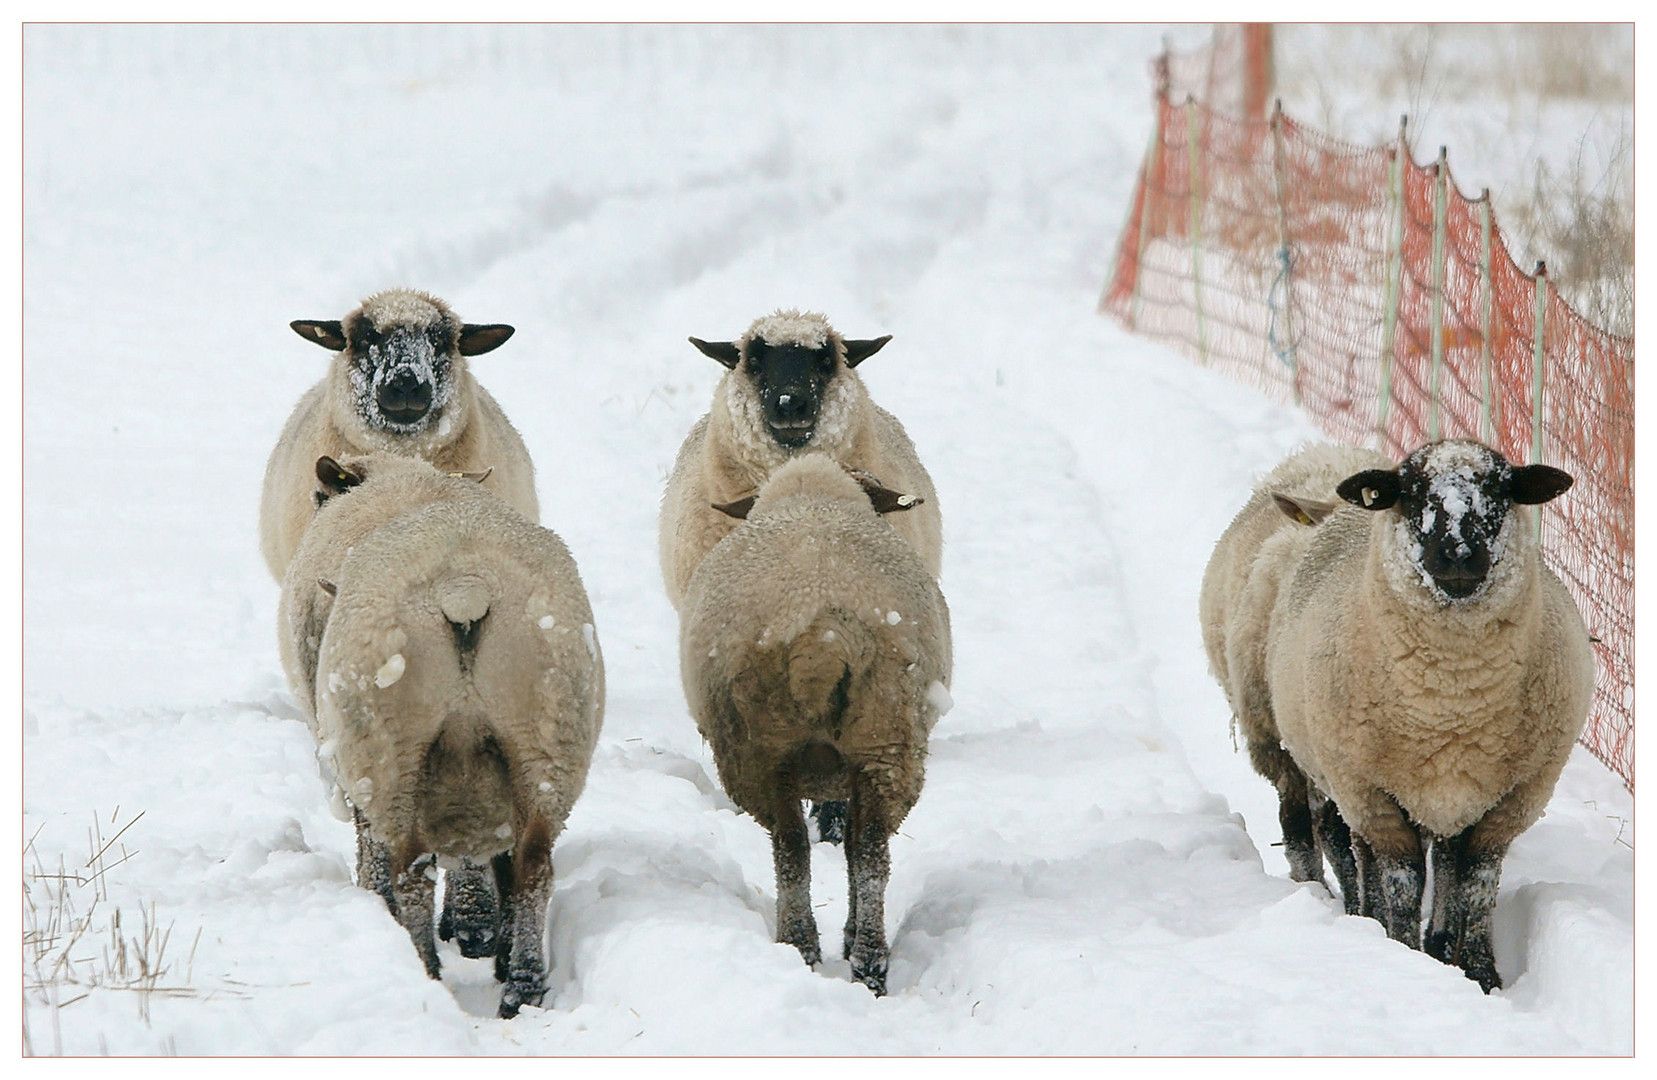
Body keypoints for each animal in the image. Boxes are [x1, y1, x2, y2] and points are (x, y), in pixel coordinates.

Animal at [281, 450, 606, 1020]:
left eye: (318, 497)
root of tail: (464, 587)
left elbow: (373, 849)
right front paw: (483, 935)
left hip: (388, 747)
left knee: (412, 869)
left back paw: (425, 967)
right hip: (548, 733)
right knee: (531, 866)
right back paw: (522, 984)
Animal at [676, 450, 961, 993]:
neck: (813, 493)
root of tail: (822, 629)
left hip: (776, 751)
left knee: (806, 849)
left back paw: (830, 953)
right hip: (880, 740)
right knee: (856, 852)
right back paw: (853, 957)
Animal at [1259, 437, 1597, 987]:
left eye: (1500, 489)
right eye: (1412, 492)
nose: (1458, 553)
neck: (1451, 701)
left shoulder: (1513, 797)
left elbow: (1477, 884)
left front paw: (1480, 972)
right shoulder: (1372, 795)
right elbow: (1402, 882)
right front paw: (1404, 952)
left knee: (1449, 860)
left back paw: (1441, 942)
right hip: (1342, 780)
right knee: (1360, 853)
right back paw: (1375, 920)